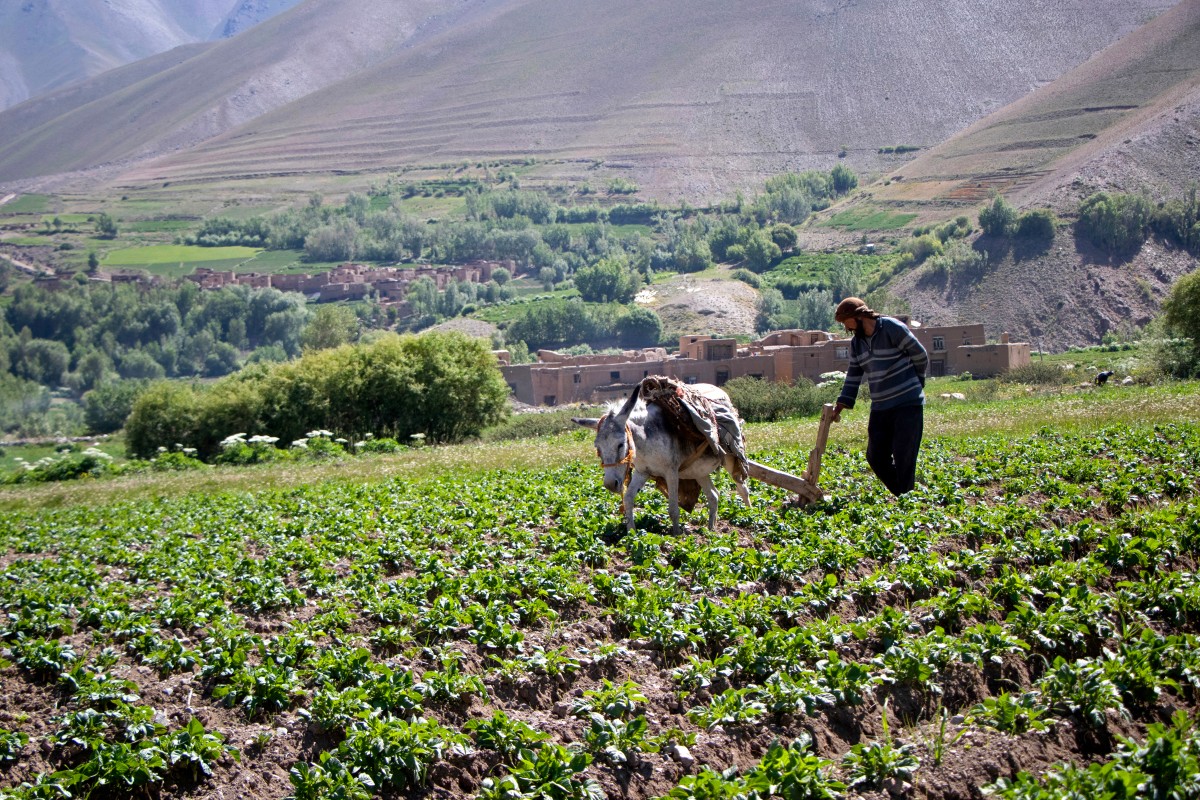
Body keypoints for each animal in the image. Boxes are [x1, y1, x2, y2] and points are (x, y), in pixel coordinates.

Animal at [573, 381, 749, 534]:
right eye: (598, 447)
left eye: (620, 444)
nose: (610, 485)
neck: (645, 440)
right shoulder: (642, 472)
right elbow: (628, 499)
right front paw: (631, 533)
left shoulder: (671, 473)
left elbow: (673, 509)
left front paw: (677, 535)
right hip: (699, 471)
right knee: (714, 495)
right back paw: (711, 529)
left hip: (730, 459)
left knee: (742, 488)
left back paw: (749, 515)